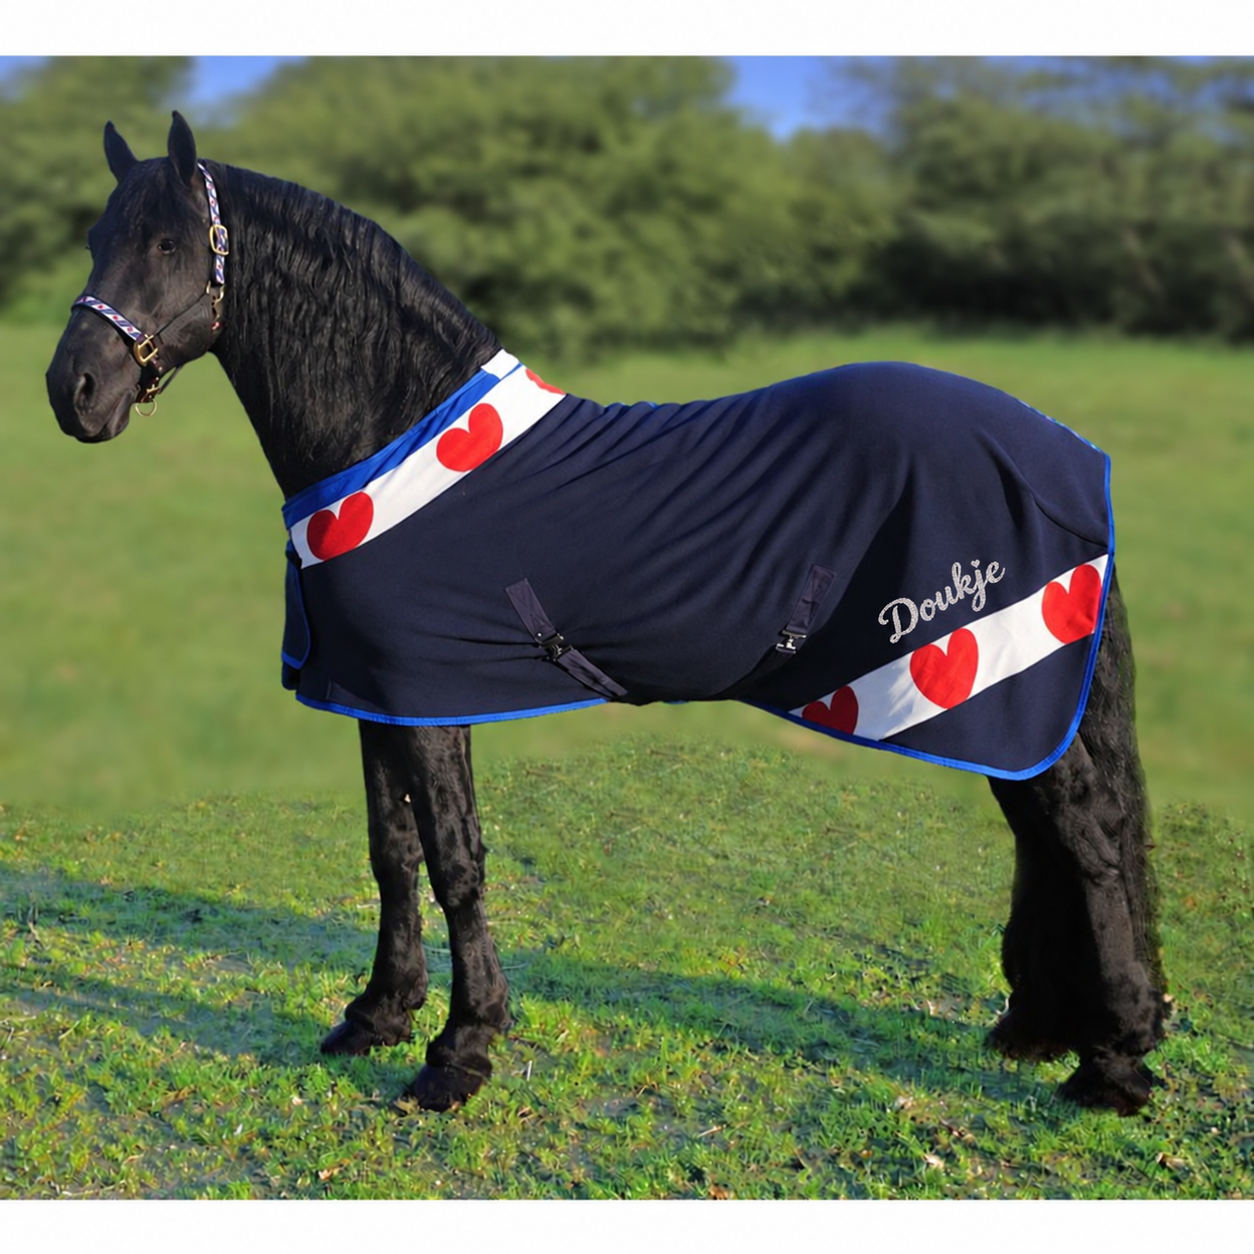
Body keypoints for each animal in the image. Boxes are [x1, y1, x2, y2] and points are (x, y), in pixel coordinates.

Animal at [46, 113, 1168, 1116]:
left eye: (167, 244)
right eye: (98, 239)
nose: (74, 391)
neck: (387, 430)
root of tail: (1061, 456)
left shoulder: (431, 700)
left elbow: (456, 862)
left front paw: (460, 1054)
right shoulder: (374, 697)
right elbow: (391, 852)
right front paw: (377, 1016)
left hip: (993, 677)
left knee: (1087, 839)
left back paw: (1111, 1067)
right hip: (1000, 696)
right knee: (1048, 836)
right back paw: (1045, 1030)